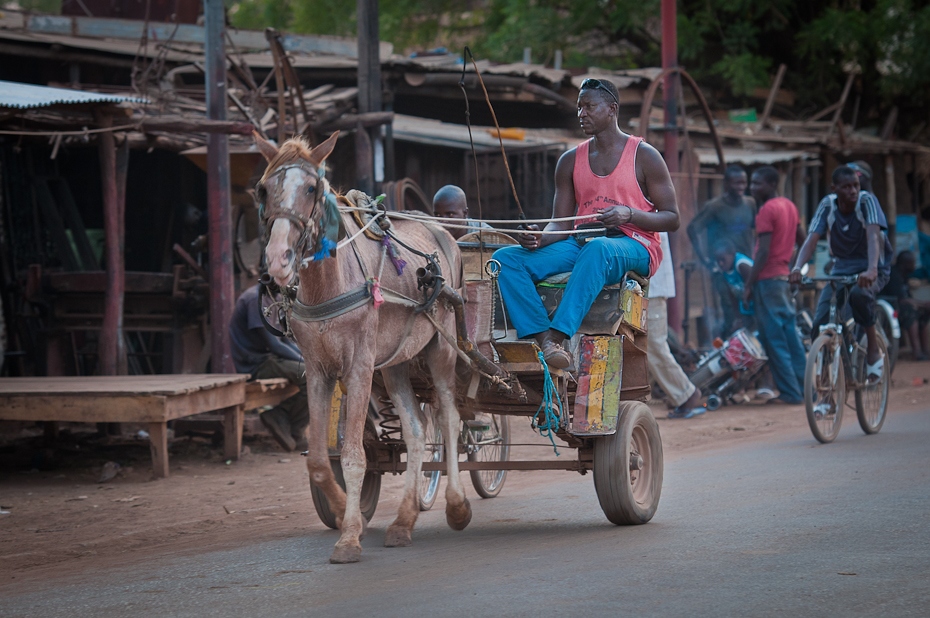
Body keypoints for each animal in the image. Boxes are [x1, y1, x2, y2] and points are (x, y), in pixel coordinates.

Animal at [254, 132, 472, 560]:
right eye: (263, 189)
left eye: (311, 188)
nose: (278, 259)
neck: (330, 281)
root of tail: (443, 232)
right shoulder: (318, 371)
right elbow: (319, 460)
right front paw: (342, 511)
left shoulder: (358, 366)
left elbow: (355, 456)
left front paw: (349, 536)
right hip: (395, 362)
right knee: (417, 430)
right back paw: (404, 521)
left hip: (440, 347)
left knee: (450, 419)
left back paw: (456, 506)